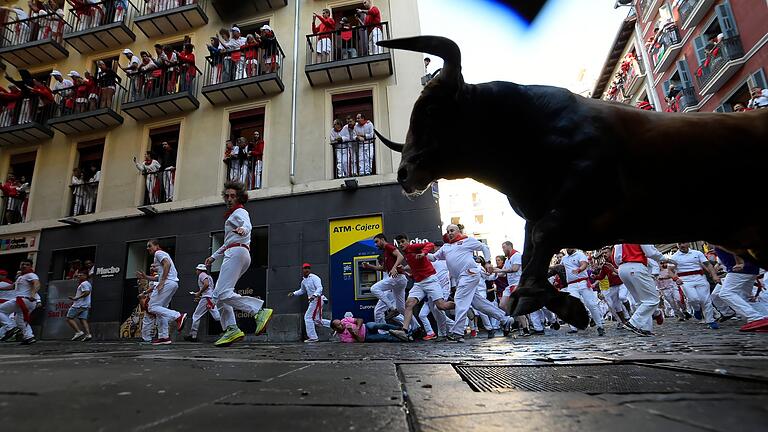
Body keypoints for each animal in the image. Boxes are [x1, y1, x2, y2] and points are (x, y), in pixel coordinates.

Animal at [376, 37, 768, 330]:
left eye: (431, 109)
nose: (404, 173)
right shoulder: (541, 215)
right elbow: (531, 252)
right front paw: (554, 301)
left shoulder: (585, 199)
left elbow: (541, 241)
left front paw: (546, 299)